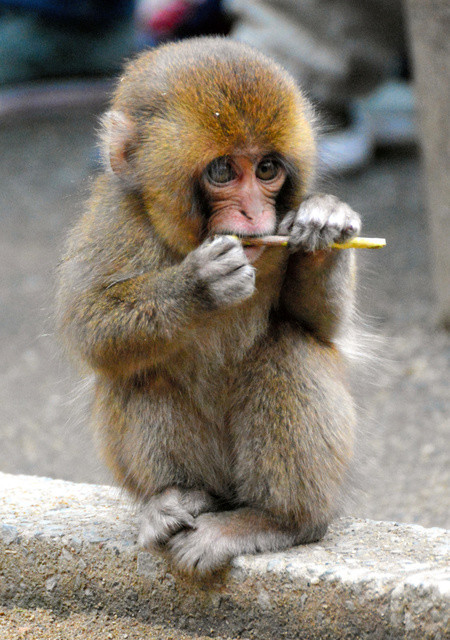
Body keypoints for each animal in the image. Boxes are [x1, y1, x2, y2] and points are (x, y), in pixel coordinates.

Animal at [56, 37, 360, 572]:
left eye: (266, 169)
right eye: (223, 171)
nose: (255, 214)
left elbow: (317, 326)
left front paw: (323, 221)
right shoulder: (115, 221)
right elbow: (90, 328)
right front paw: (199, 285)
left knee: (288, 347)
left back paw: (276, 521)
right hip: (212, 473)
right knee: (140, 370)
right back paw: (175, 498)